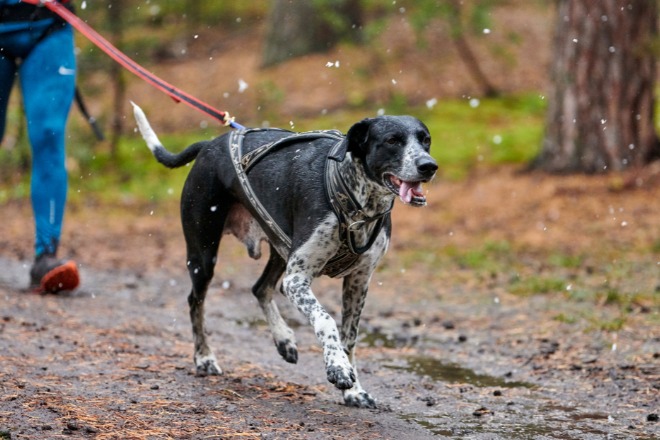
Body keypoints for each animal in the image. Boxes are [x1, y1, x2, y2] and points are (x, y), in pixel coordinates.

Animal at [131, 101, 436, 408]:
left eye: (426, 140)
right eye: (392, 141)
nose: (429, 166)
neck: (355, 201)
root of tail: (208, 145)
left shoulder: (358, 281)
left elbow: (349, 338)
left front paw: (354, 390)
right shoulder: (297, 279)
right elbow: (326, 320)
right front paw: (337, 367)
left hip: (280, 250)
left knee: (260, 288)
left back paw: (283, 339)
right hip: (203, 255)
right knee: (196, 301)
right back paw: (204, 357)